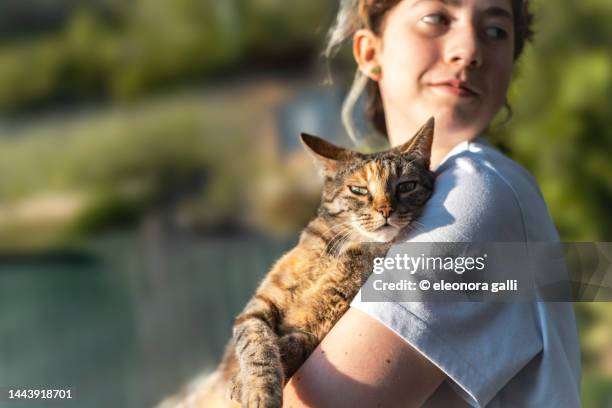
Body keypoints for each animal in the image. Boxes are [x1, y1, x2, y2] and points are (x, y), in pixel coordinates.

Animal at [158, 117, 436, 408]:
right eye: (358, 190)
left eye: (406, 186)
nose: (386, 210)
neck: (336, 252)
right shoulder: (255, 309)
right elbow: (257, 346)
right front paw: (258, 391)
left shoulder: (314, 329)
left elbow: (290, 344)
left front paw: (242, 385)